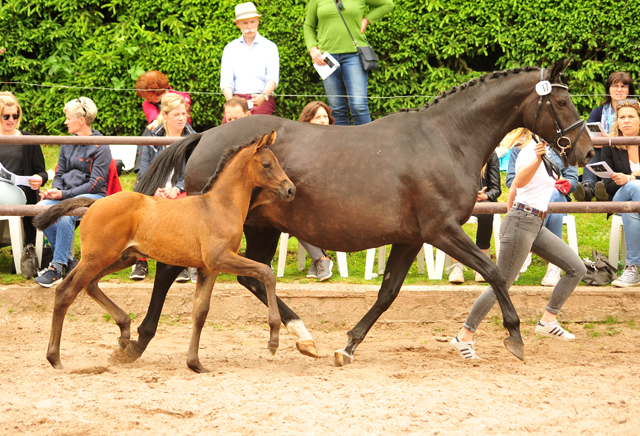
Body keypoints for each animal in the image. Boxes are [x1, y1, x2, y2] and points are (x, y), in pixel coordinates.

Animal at [34, 131, 296, 372]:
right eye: (267, 164)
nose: (291, 189)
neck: (219, 206)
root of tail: (95, 203)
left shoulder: (208, 269)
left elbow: (200, 312)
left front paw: (195, 363)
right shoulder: (220, 259)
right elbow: (266, 273)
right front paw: (273, 339)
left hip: (119, 258)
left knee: (89, 285)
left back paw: (125, 332)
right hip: (98, 257)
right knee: (66, 292)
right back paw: (55, 358)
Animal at [132, 58, 592, 364]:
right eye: (562, 103)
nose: (585, 151)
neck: (446, 139)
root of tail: (204, 137)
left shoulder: (412, 239)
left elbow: (388, 293)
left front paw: (348, 345)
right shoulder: (442, 231)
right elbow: (495, 272)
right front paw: (515, 337)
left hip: (261, 227)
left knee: (253, 274)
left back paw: (303, 336)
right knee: (171, 271)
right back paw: (139, 339)